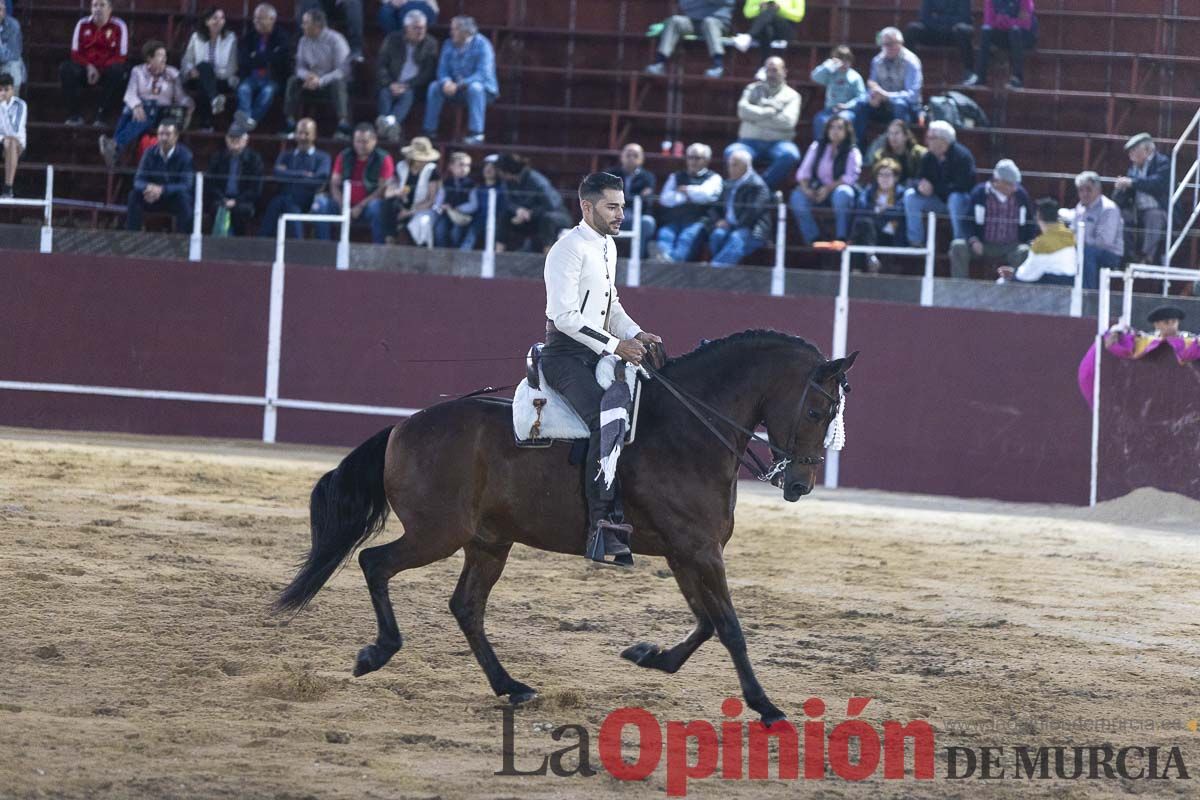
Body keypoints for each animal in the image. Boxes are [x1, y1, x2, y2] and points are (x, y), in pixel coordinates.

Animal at [276, 328, 859, 724]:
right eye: (818, 410)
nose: (800, 483)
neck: (689, 431)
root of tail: (402, 427)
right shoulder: (698, 550)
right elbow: (730, 627)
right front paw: (766, 706)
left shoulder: (686, 551)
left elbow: (707, 622)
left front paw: (650, 656)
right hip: (436, 534)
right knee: (375, 563)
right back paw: (377, 652)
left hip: (489, 542)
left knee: (466, 606)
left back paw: (511, 685)